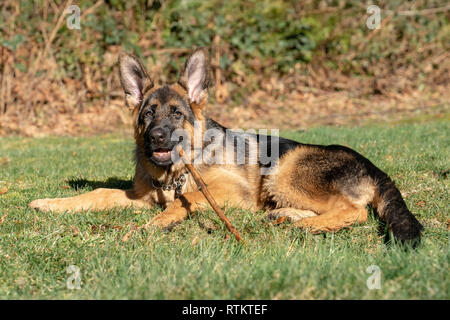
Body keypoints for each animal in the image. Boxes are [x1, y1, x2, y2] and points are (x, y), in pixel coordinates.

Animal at [29, 48, 424, 245]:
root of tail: (374, 167)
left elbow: (185, 202)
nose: (156, 138)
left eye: (176, 114)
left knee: (355, 211)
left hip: (284, 170)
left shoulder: (230, 195)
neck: (174, 174)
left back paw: (305, 227)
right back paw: (287, 217)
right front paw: (51, 204)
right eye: (148, 114)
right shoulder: (138, 196)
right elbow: (97, 193)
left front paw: (151, 226)